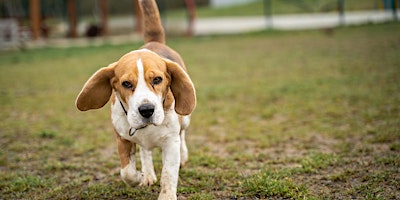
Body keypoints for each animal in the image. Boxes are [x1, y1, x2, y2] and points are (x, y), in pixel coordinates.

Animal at [74, 0, 196, 199]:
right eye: (126, 83)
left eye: (157, 80)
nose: (146, 110)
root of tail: (154, 42)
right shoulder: (122, 139)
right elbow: (126, 172)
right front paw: (139, 177)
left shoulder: (170, 143)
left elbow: (168, 175)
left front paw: (167, 195)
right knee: (145, 152)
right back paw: (147, 174)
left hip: (185, 119)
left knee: (183, 134)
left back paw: (183, 156)